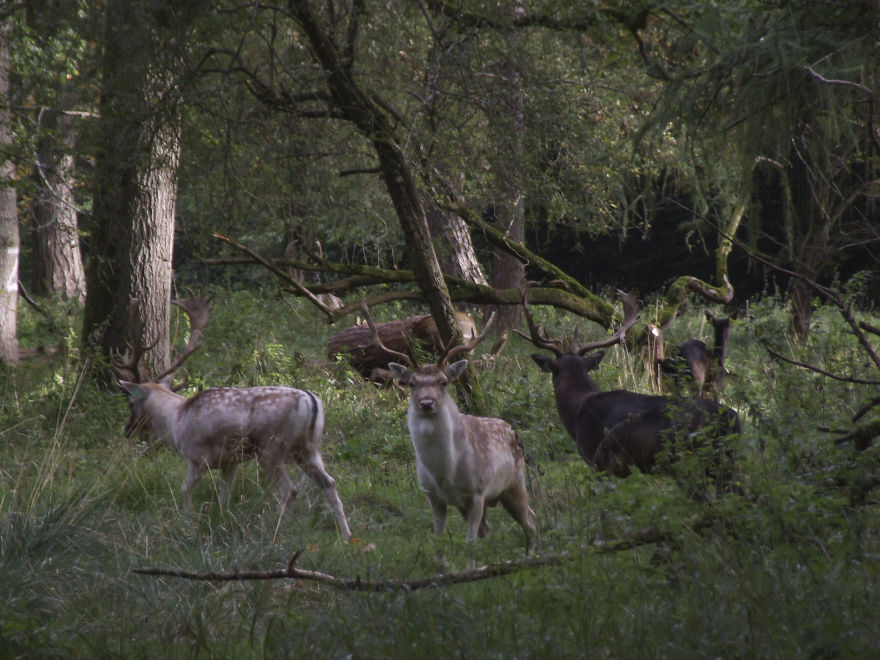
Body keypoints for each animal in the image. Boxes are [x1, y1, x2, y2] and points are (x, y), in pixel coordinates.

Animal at [113, 294, 352, 540]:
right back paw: (346, 536)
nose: (127, 430)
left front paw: (189, 524)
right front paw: (221, 521)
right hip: (308, 447)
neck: (176, 421)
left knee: (290, 490)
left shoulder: (197, 457)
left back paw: (273, 531)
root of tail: (310, 400)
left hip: (271, 447)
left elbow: (185, 489)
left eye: (131, 403)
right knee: (329, 482)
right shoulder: (230, 462)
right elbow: (224, 497)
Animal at [384, 311, 537, 554]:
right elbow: (439, 542)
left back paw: (529, 555)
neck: (446, 473)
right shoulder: (433, 497)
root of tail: (512, 430)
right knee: (491, 528)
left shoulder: (477, 491)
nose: (426, 403)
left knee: (531, 521)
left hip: (515, 482)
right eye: (411, 383)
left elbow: (469, 543)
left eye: (444, 381)